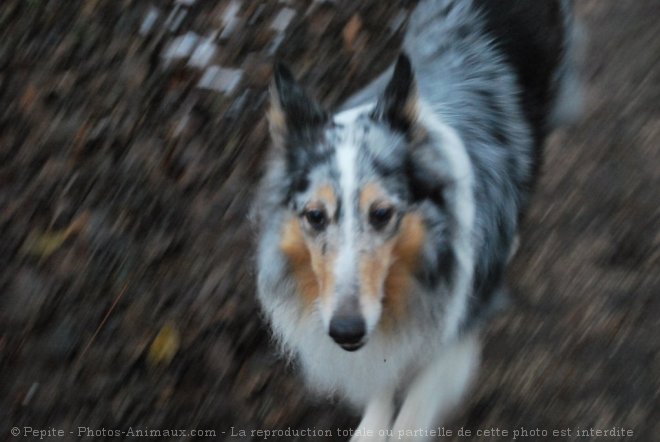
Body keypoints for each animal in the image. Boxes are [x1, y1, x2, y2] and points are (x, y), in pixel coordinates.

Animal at [254, 0, 584, 438]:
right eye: (315, 216)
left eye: (381, 213)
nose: (345, 331)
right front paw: (371, 428)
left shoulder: (456, 325)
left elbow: (413, 413)